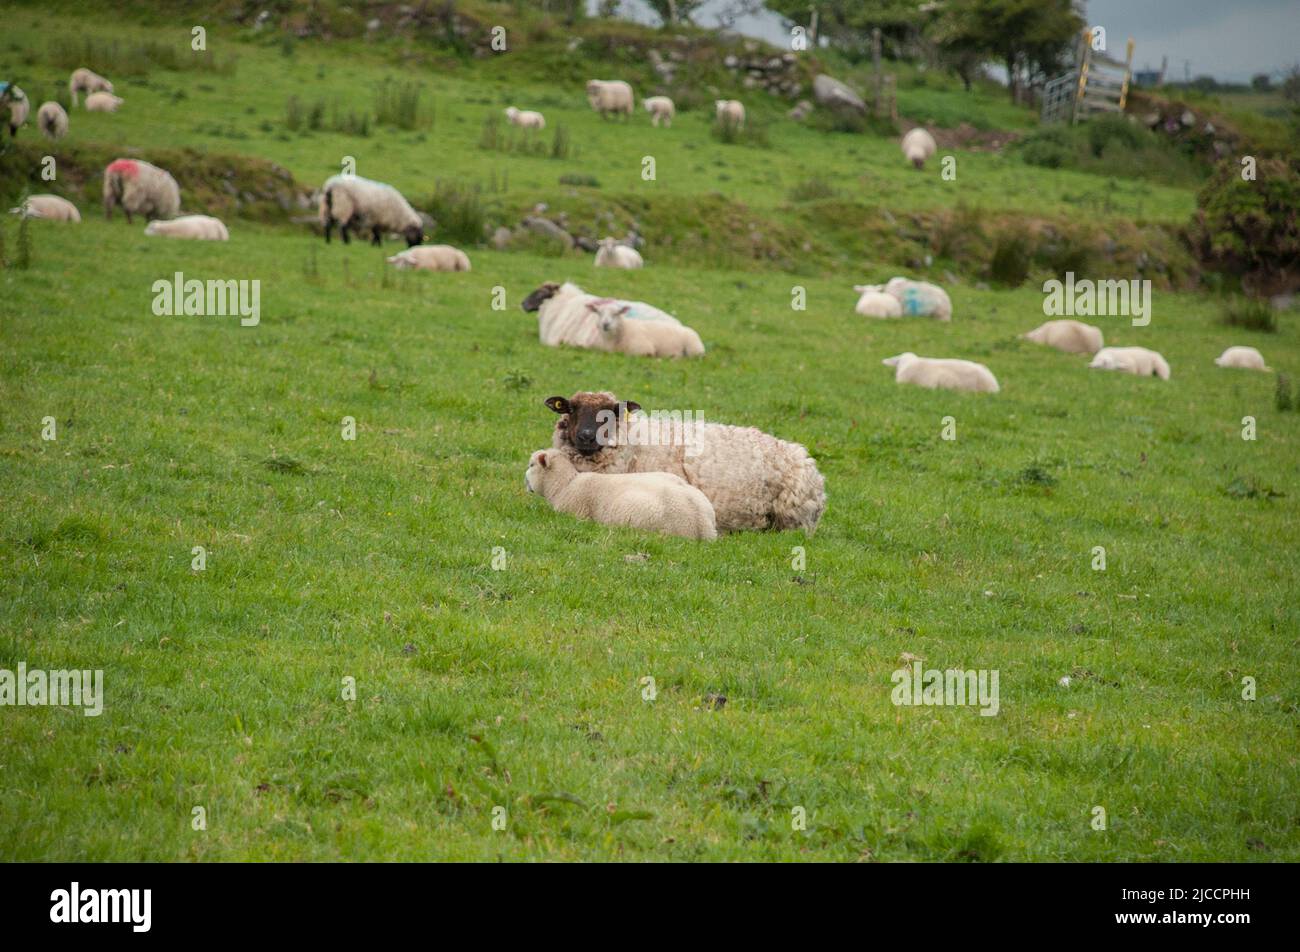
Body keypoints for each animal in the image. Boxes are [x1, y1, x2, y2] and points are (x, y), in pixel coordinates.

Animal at [545, 391, 826, 534]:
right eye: (571, 409)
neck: (635, 445)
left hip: (792, 519)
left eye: (611, 413)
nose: (586, 436)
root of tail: (804, 457)